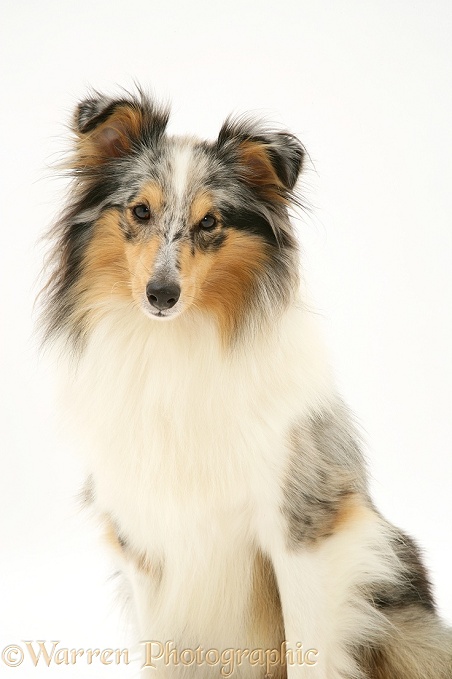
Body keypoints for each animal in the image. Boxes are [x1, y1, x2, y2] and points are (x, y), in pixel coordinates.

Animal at [41, 90, 448, 679]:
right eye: (140, 211)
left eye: (210, 221)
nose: (161, 295)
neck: (175, 348)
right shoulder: (143, 542)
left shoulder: (301, 528)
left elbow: (308, 653)